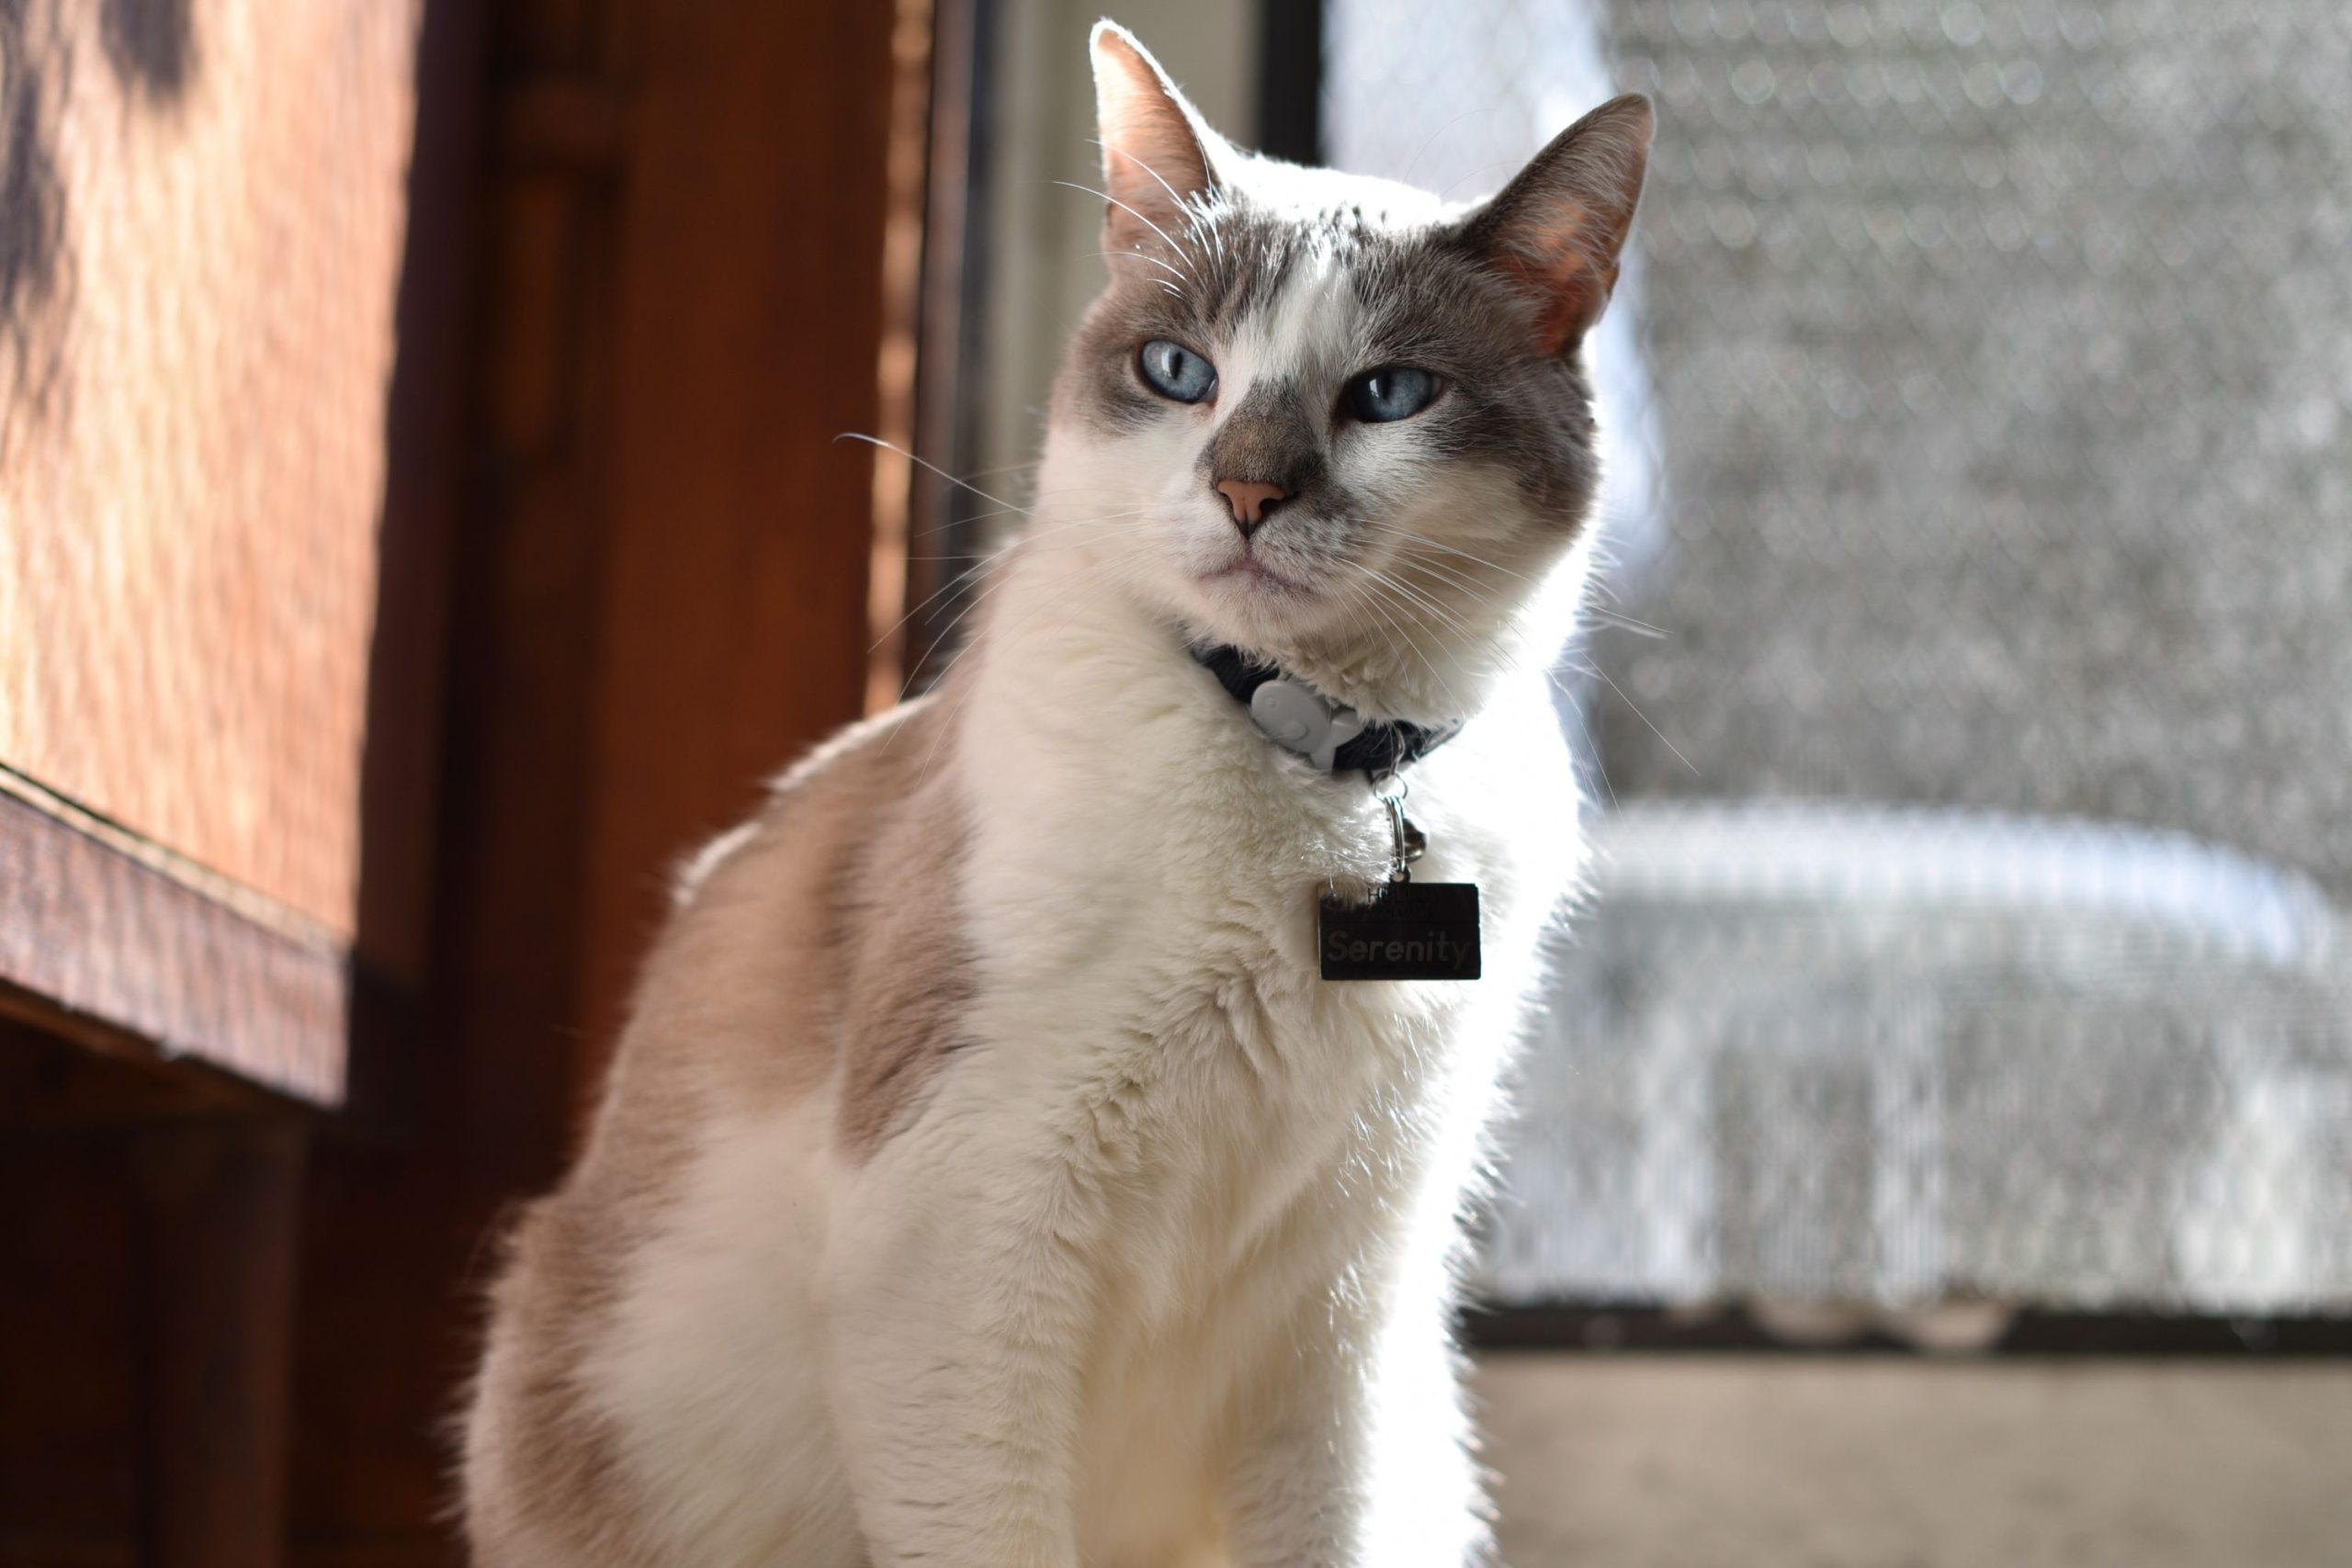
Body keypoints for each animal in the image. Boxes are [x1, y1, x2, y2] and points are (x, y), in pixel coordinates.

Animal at [448, 24, 1646, 1568]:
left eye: (1389, 394)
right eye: (1179, 370)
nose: (1246, 491)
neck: (1311, 760)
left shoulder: (1342, 1302)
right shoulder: (970, 1224)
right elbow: (990, 1515)